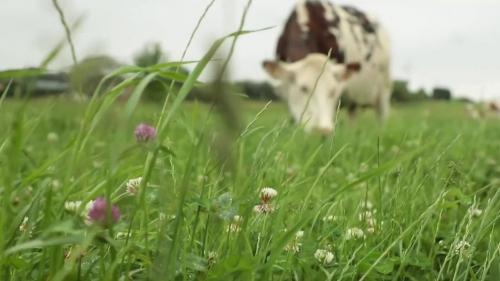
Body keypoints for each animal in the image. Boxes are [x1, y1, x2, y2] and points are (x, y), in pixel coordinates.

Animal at [262, 0, 390, 134]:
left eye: (333, 90)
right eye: (303, 88)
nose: (322, 130)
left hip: (384, 88)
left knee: (382, 117)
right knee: (353, 113)